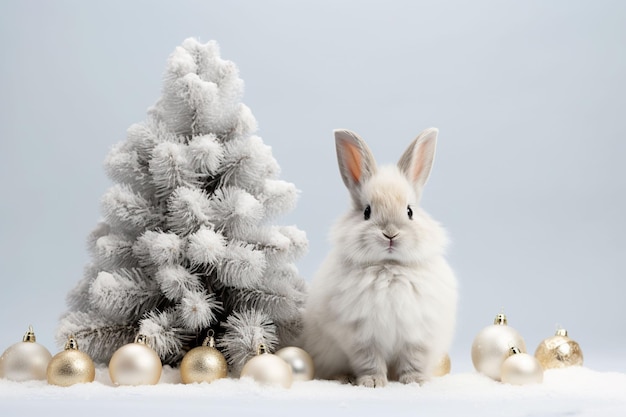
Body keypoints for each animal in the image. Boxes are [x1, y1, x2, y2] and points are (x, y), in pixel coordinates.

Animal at [300, 127, 456, 386]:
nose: (390, 234)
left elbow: (412, 359)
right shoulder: (361, 336)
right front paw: (372, 383)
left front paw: (415, 381)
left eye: (409, 211)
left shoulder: (417, 335)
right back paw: (344, 378)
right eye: (367, 211)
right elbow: (369, 361)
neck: (388, 267)